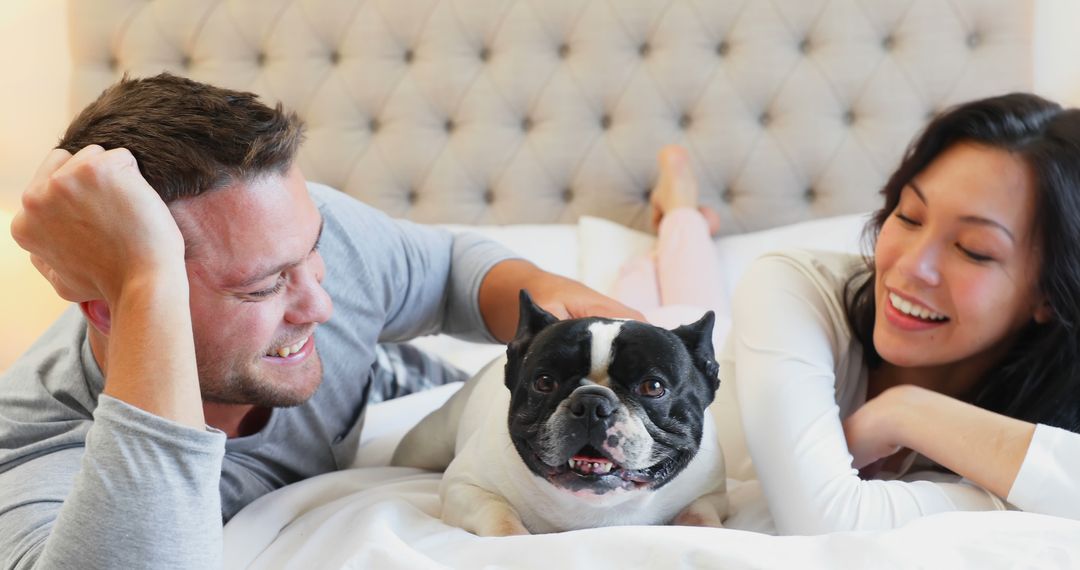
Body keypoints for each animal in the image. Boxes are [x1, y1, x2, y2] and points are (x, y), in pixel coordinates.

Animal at [393, 291, 730, 537]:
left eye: (653, 387)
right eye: (544, 382)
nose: (592, 404)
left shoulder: (709, 496)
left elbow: (701, 515)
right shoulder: (464, 486)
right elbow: (499, 514)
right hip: (424, 445)